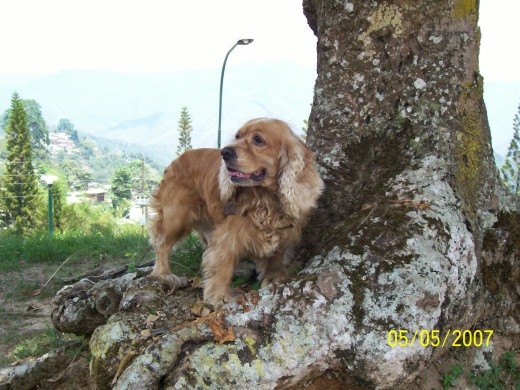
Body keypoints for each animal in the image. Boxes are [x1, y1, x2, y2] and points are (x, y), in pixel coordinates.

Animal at [148, 117, 322, 306]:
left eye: (258, 139)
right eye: (237, 136)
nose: (225, 152)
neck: (265, 200)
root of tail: (178, 159)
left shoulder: (286, 233)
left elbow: (276, 258)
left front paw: (274, 277)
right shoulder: (229, 233)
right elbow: (223, 264)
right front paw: (219, 296)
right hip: (177, 216)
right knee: (162, 244)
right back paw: (165, 274)